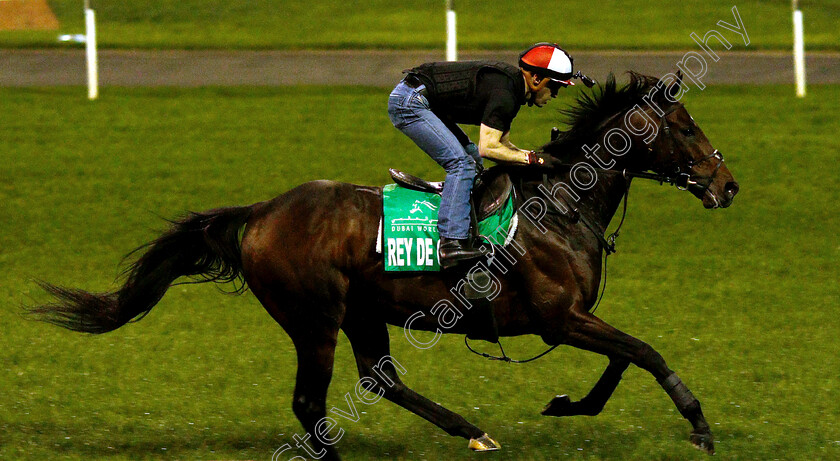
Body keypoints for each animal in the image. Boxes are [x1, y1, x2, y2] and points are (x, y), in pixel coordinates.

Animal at [27, 72, 736, 456]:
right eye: (685, 126)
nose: (726, 185)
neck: (559, 207)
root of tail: (262, 212)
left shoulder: (571, 319)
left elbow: (625, 357)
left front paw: (569, 405)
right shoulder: (558, 318)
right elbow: (644, 352)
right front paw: (699, 426)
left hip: (361, 312)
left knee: (378, 378)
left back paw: (471, 430)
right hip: (313, 318)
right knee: (311, 402)